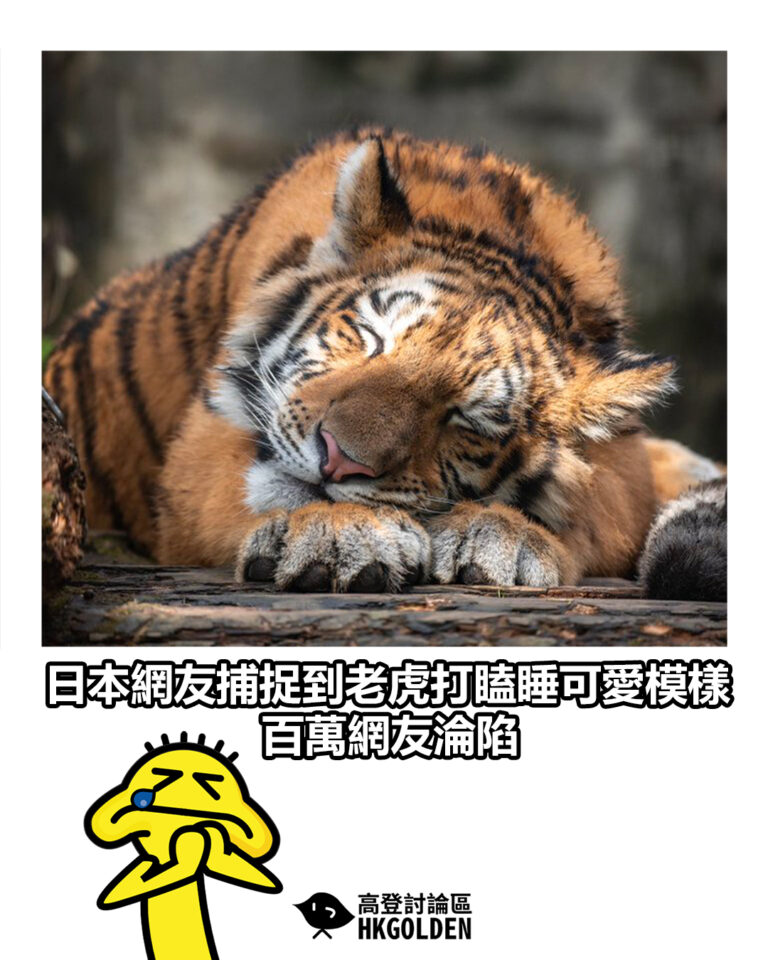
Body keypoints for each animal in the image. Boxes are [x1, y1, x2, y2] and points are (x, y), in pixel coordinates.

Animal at [44, 127, 726, 600]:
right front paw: (338, 532)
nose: (337, 461)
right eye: (371, 338)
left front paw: (504, 536)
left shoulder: (622, 466)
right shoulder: (197, 451)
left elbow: (589, 512)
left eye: (466, 420)